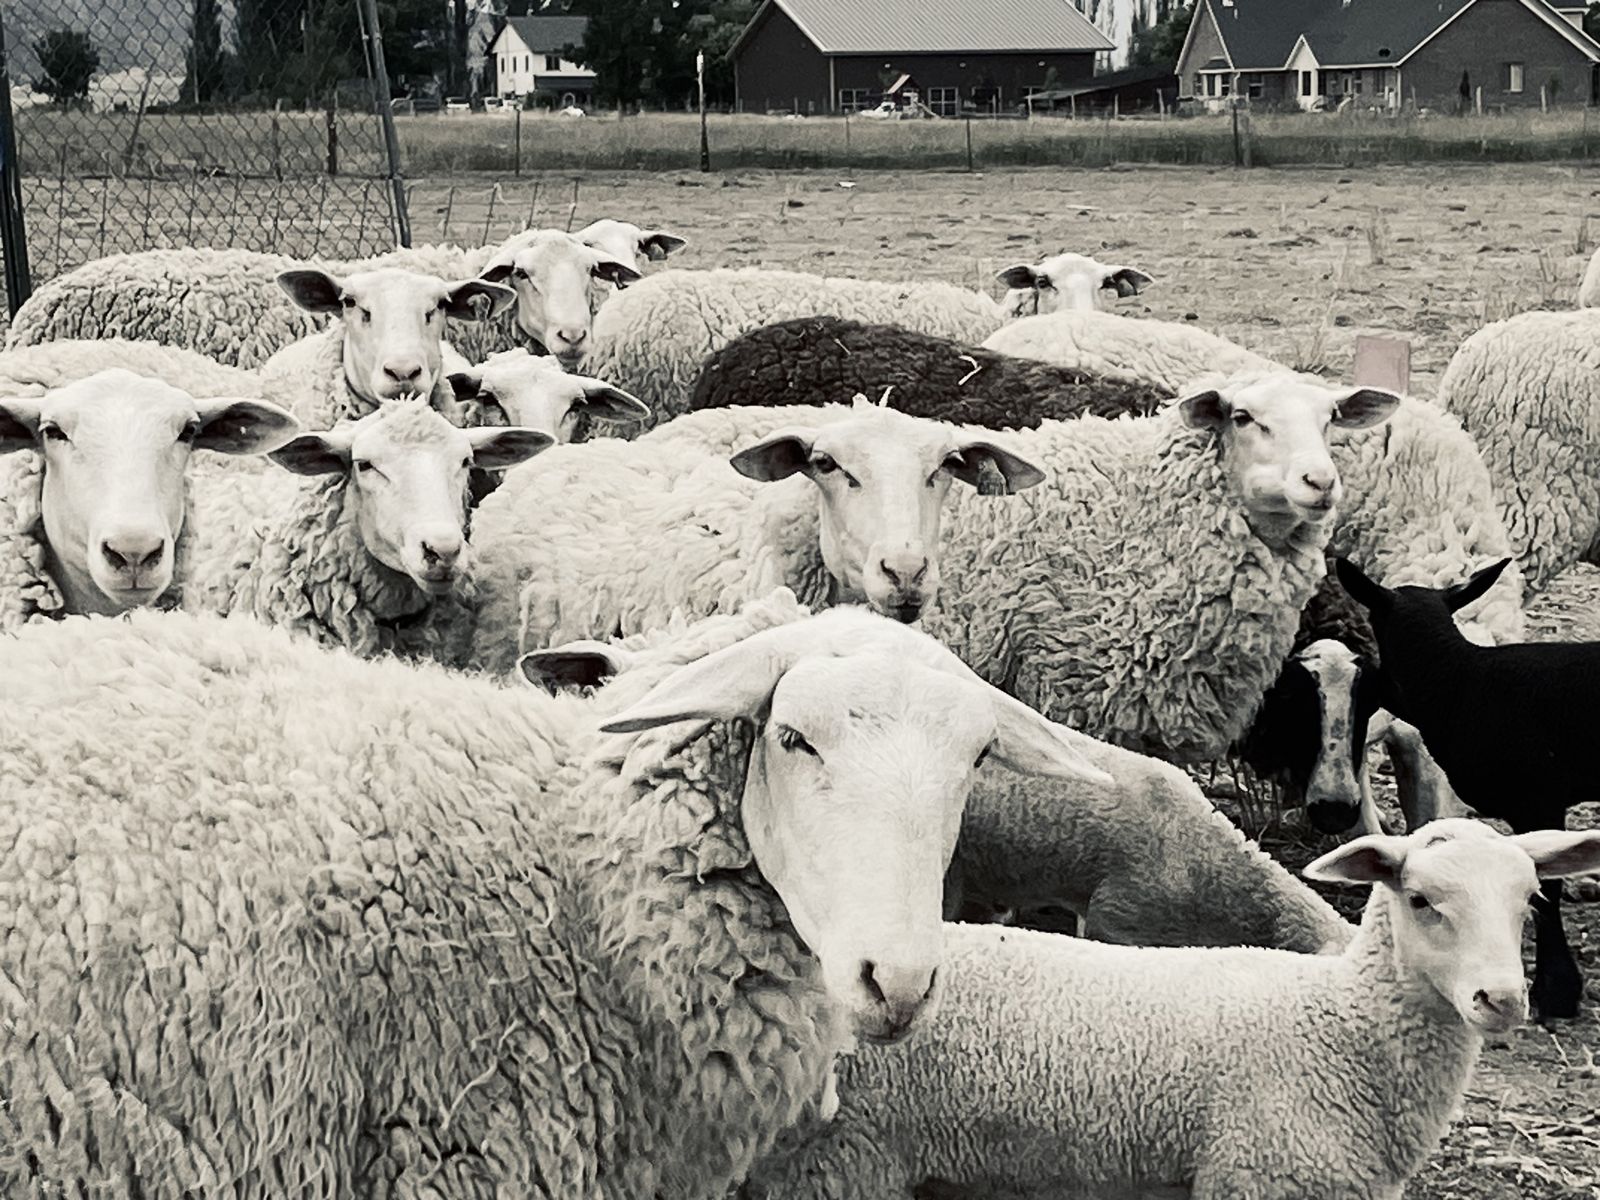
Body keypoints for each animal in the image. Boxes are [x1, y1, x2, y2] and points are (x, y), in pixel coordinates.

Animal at [742, 819, 1600, 1200]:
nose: (1502, 999)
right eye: (1421, 900)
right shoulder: (1262, 1177)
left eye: (1530, 899)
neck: (1341, 1028)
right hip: (837, 1162)